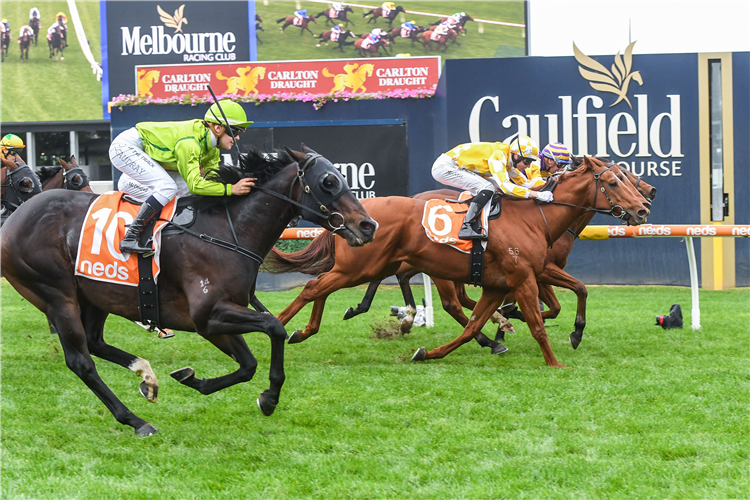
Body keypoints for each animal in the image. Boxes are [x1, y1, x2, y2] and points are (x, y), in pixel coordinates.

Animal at [0, 146, 376, 436]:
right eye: (328, 182)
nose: (368, 225)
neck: (227, 230)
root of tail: (13, 222)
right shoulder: (208, 315)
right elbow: (274, 328)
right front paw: (269, 397)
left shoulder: (214, 320)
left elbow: (248, 364)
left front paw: (194, 380)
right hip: (57, 294)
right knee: (81, 361)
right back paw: (136, 420)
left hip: (95, 295)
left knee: (94, 342)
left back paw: (146, 376)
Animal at [268, 158, 648, 370]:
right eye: (613, 181)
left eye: (628, 177)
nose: (644, 207)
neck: (534, 217)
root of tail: (350, 215)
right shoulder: (526, 276)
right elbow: (540, 322)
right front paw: (557, 361)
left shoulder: (499, 283)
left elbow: (472, 327)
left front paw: (431, 352)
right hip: (364, 268)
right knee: (313, 286)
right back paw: (283, 325)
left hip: (376, 266)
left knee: (321, 285)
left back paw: (306, 329)